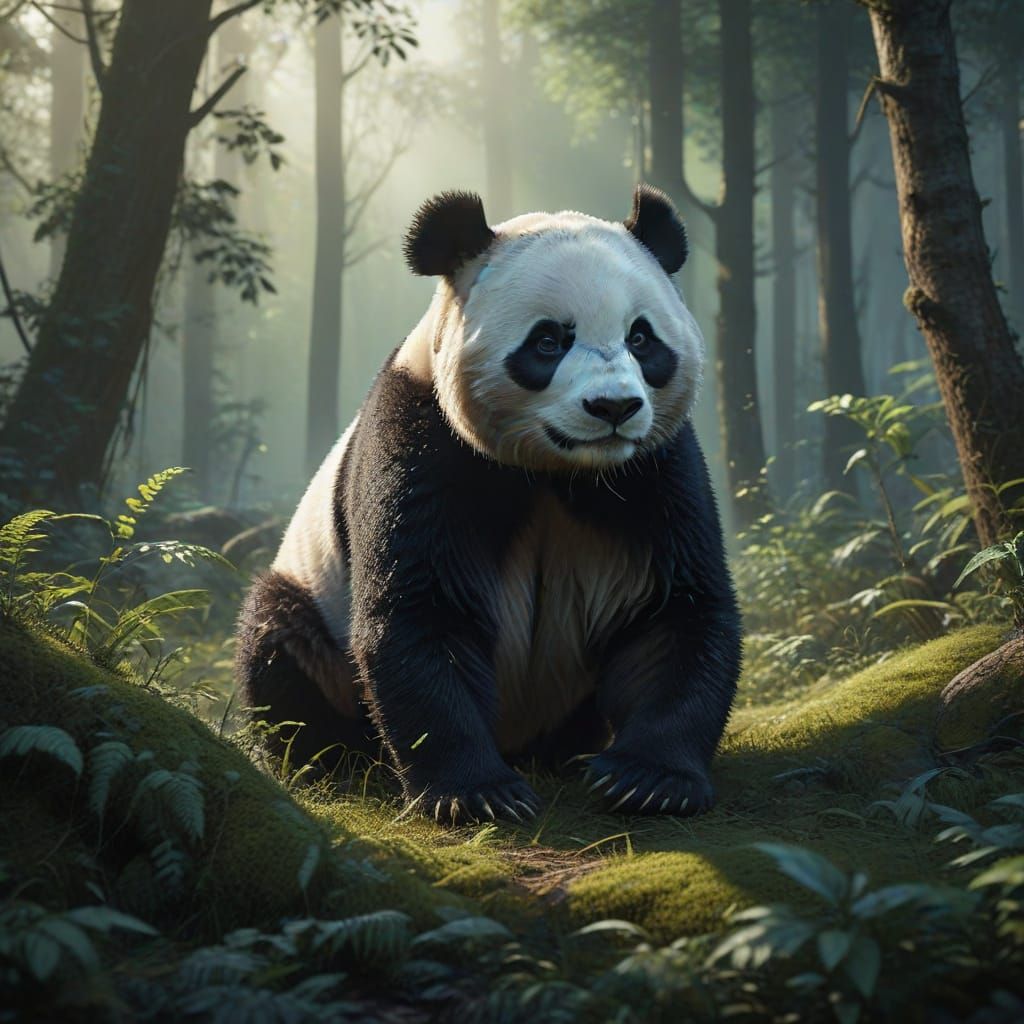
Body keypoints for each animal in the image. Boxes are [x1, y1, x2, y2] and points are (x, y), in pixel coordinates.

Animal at [236, 184, 742, 825]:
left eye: (641, 338)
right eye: (548, 341)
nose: (613, 408)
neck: (561, 473)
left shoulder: (654, 469)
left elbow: (675, 608)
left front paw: (648, 779)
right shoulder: (426, 441)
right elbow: (423, 609)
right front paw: (477, 792)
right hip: (311, 596)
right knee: (281, 637)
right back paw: (333, 759)